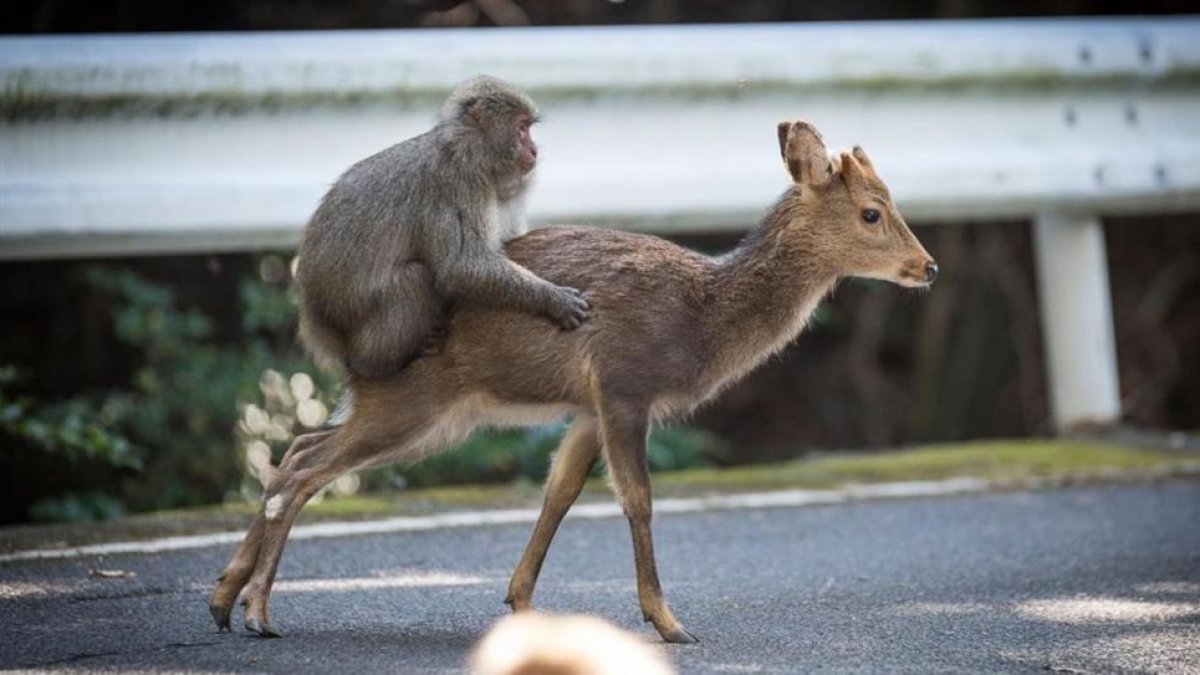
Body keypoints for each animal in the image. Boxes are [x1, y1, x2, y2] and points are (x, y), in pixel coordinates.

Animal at [208, 119, 938, 643]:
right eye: (872, 212)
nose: (928, 266)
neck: (700, 319)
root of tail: (347, 342)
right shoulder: (623, 383)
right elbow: (637, 499)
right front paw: (669, 622)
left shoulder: (587, 406)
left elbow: (558, 492)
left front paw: (522, 604)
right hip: (416, 400)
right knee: (305, 468)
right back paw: (258, 612)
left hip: (425, 412)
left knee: (296, 450)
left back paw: (222, 598)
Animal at [294, 75, 590, 379]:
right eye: (521, 129)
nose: (534, 150)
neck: (468, 151)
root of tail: (317, 319)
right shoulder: (457, 184)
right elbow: (461, 267)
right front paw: (552, 299)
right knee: (412, 278)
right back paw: (378, 362)